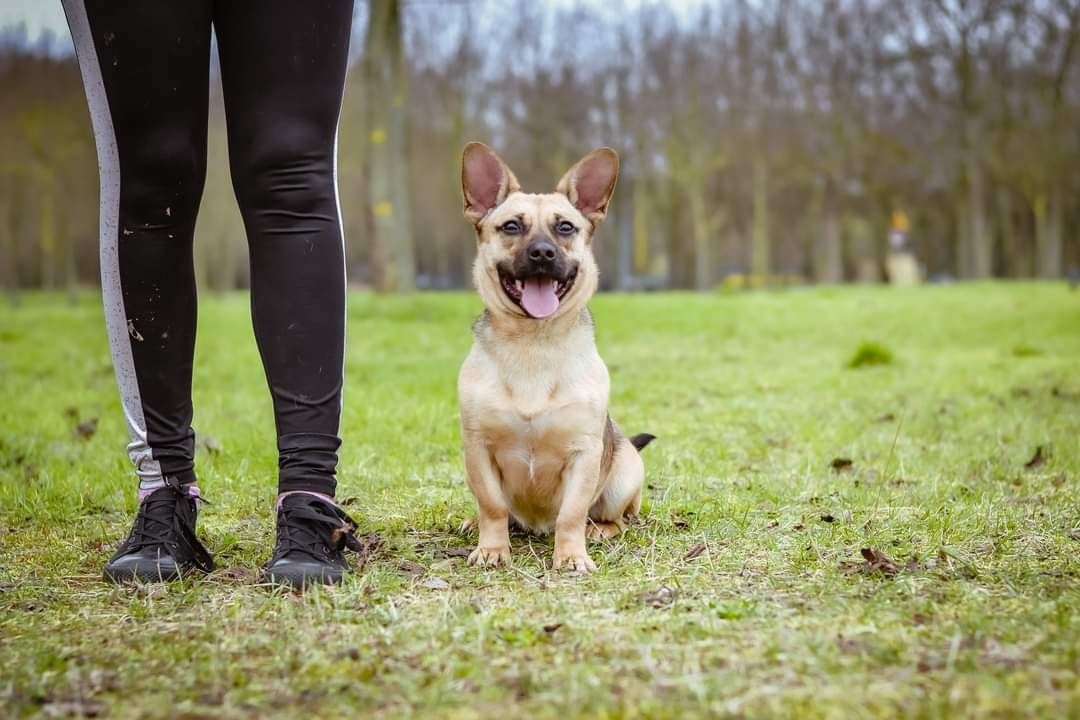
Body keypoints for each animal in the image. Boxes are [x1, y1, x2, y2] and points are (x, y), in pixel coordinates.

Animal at [453, 143, 652, 578]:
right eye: (511, 227)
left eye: (565, 228)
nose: (542, 253)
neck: (534, 341)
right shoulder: (479, 450)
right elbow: (493, 506)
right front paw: (493, 549)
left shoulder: (584, 454)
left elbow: (571, 514)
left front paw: (572, 555)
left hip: (623, 478)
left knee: (618, 518)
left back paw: (599, 530)